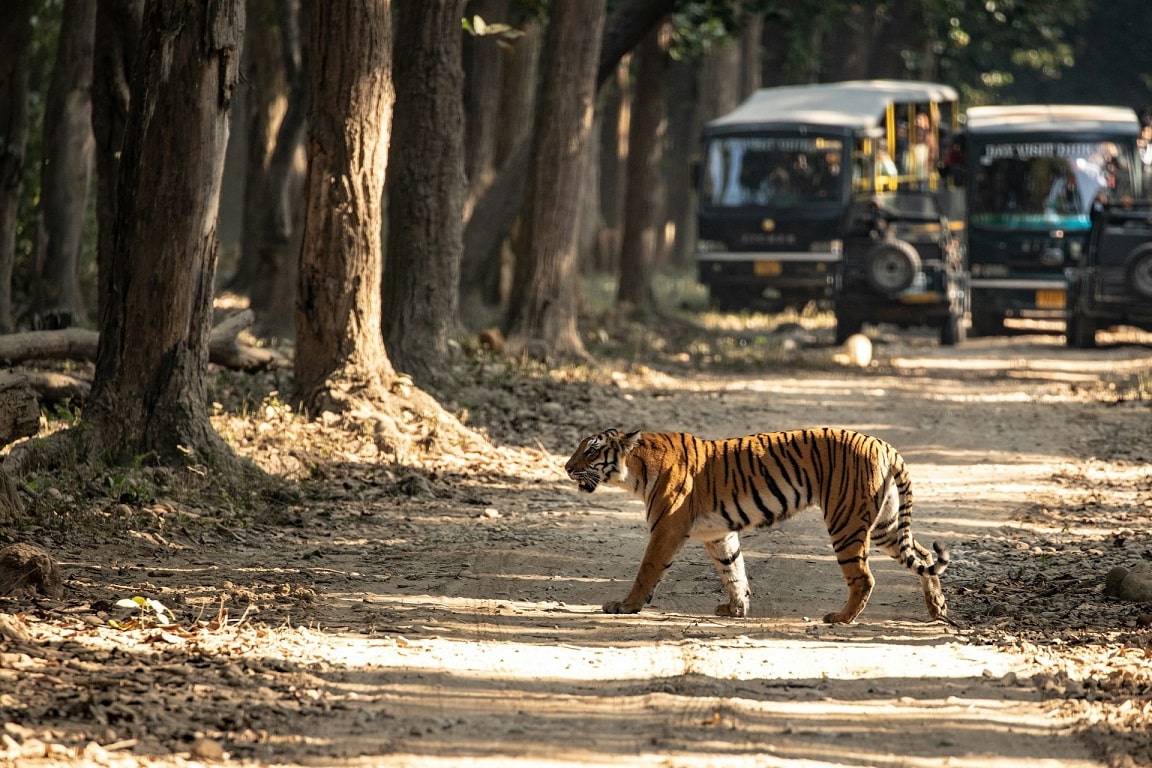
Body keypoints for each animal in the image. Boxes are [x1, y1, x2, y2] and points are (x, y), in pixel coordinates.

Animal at [562, 426, 949, 626]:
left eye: (591, 451)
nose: (566, 467)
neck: (636, 471)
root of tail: (884, 444)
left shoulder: (667, 529)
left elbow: (647, 570)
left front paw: (625, 606)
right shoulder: (719, 533)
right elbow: (733, 571)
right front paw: (736, 609)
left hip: (846, 521)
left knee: (864, 577)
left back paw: (840, 617)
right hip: (885, 525)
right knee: (924, 555)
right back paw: (938, 610)